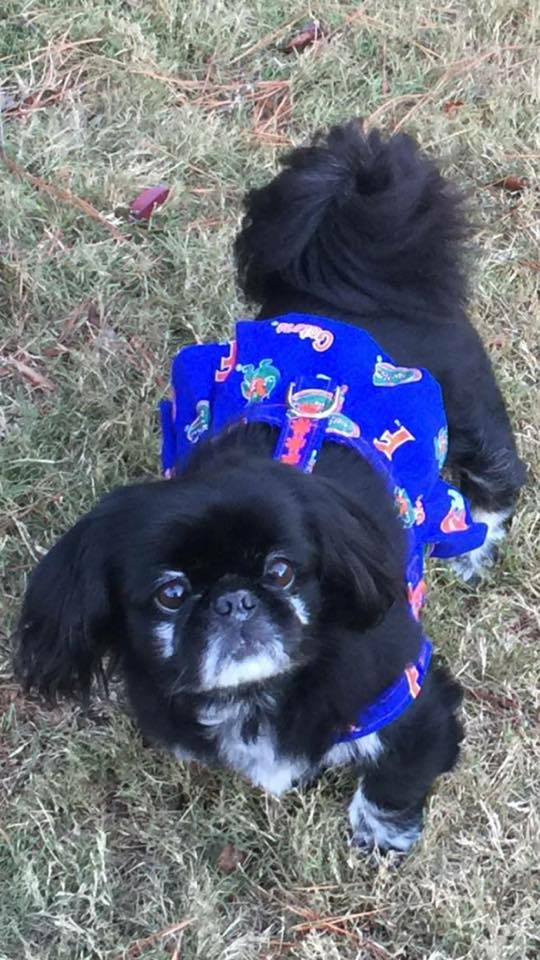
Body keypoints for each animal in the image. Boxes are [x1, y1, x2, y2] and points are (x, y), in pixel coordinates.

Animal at [15, 124, 524, 852]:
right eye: (171, 594)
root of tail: (348, 299)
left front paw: (380, 835)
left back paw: (478, 548)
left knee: (494, 483)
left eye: (283, 572)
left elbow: (398, 775)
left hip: (471, 413)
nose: (235, 601)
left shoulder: (414, 697)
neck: (257, 695)